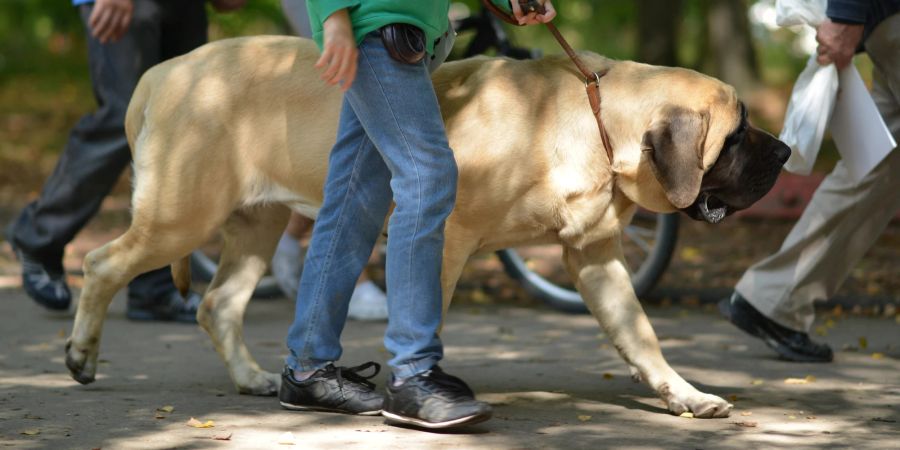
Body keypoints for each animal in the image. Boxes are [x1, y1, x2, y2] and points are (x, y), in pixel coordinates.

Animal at [67, 36, 792, 418]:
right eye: (737, 135)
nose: (785, 153)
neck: (596, 120)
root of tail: (163, 71)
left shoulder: (594, 258)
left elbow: (640, 335)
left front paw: (685, 395)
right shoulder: (446, 237)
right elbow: (427, 312)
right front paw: (416, 390)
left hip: (255, 227)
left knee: (217, 303)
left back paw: (254, 378)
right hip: (180, 216)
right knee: (102, 264)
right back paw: (80, 356)